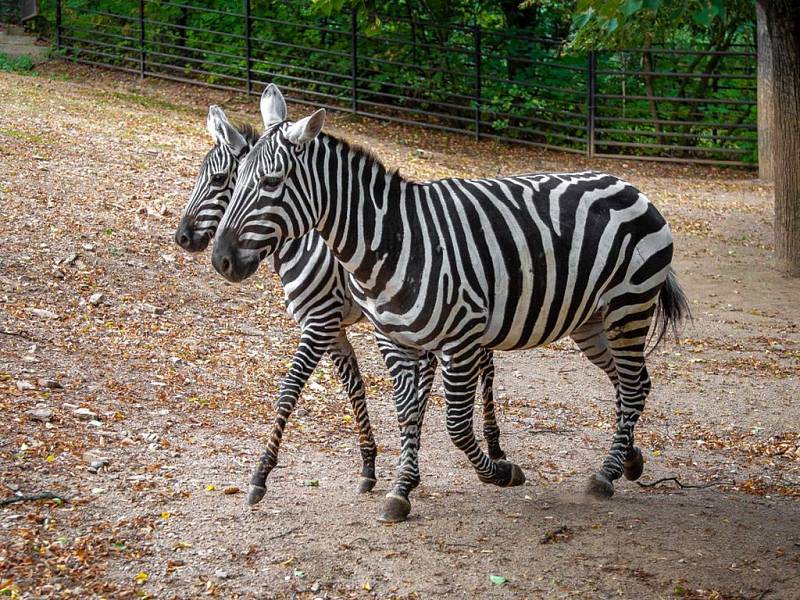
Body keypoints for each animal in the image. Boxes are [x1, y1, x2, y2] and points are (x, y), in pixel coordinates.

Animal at [211, 84, 688, 520]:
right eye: (235, 181)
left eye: (270, 182)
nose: (221, 259)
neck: (391, 239)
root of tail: (626, 184)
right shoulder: (395, 338)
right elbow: (406, 411)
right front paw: (401, 488)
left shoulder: (456, 337)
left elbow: (456, 426)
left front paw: (500, 472)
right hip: (591, 321)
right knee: (634, 383)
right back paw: (629, 460)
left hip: (629, 306)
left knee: (631, 385)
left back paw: (605, 475)